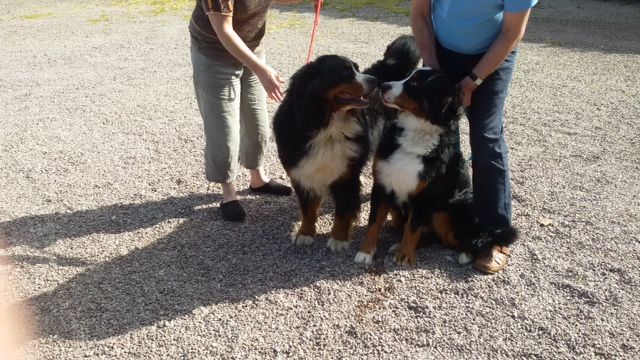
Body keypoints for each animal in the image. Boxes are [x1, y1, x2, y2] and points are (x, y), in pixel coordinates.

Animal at [274, 35, 420, 252]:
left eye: (357, 68)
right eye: (344, 72)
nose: (373, 81)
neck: (327, 127)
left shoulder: (346, 175)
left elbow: (343, 210)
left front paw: (338, 239)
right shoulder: (302, 172)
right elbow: (308, 209)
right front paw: (305, 233)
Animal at [352, 67, 516, 264]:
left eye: (415, 82)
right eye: (408, 75)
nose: (383, 85)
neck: (416, 132)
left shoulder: (424, 195)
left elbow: (412, 229)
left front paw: (405, 255)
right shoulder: (382, 184)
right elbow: (374, 222)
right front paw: (366, 252)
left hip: (444, 212)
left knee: (460, 240)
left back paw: (468, 254)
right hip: (397, 212)